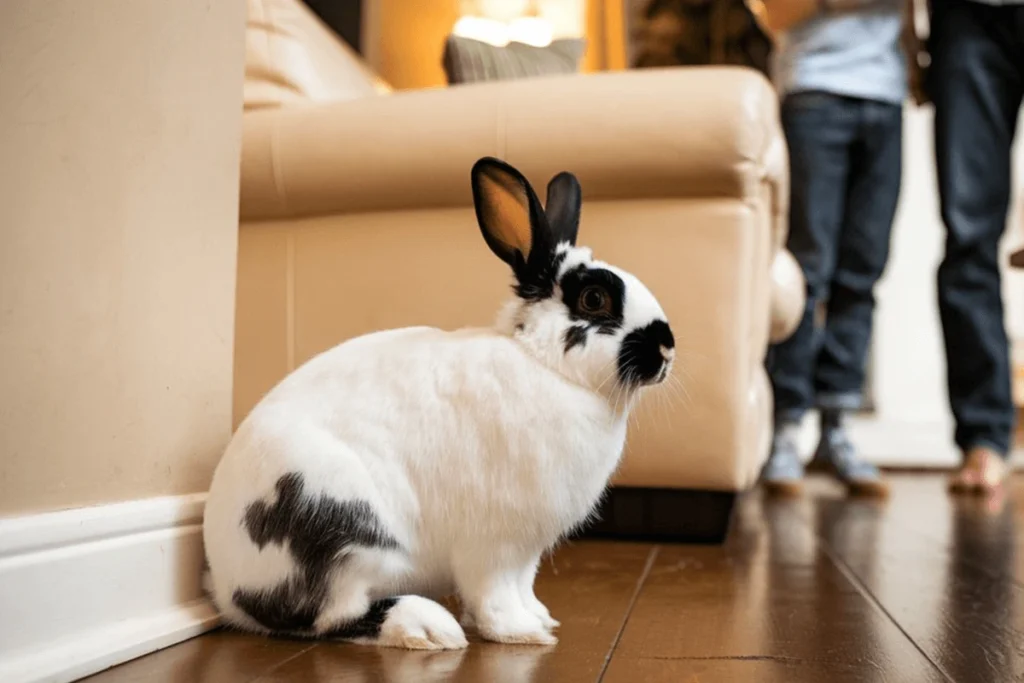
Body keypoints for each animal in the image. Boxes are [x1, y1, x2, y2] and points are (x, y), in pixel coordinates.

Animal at [202, 156, 675, 651]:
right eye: (594, 298)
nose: (667, 349)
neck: (543, 363)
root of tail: (229, 591)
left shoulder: (527, 552)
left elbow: (523, 586)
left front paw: (541, 619)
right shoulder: (496, 544)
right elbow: (495, 593)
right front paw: (521, 633)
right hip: (344, 531)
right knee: (331, 617)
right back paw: (427, 627)